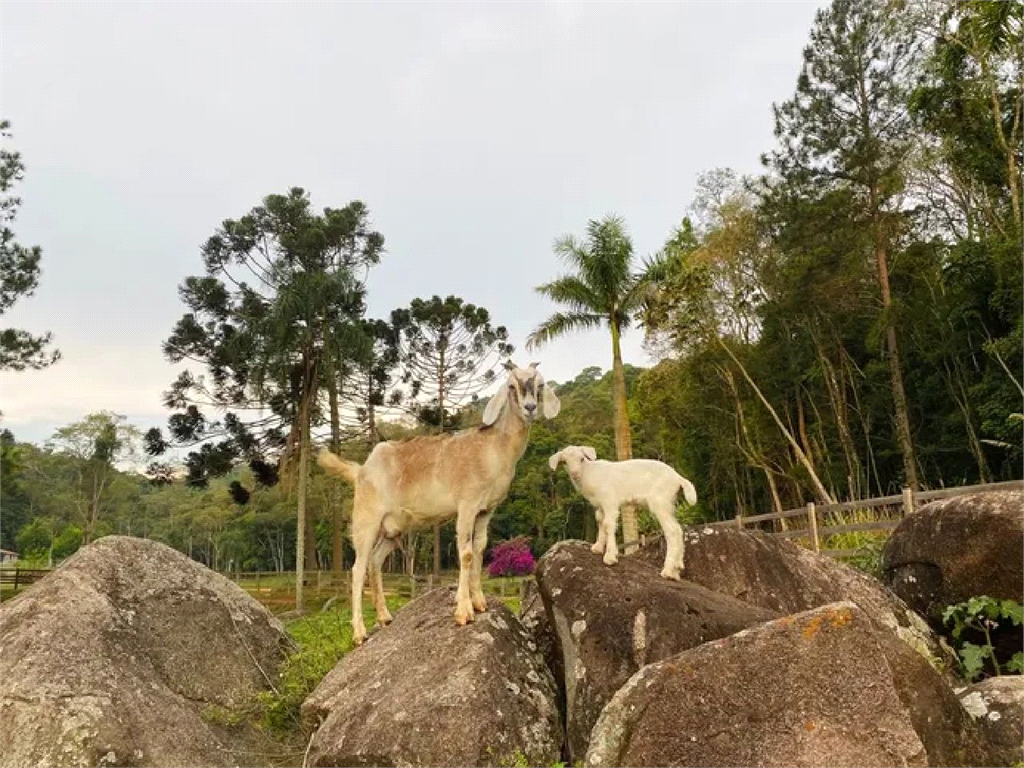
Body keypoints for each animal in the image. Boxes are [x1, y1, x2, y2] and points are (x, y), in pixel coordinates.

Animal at [319, 360, 561, 643]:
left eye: (540, 385)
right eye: (512, 386)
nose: (530, 407)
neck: (494, 449)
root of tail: (360, 470)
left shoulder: (486, 510)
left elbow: (480, 549)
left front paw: (479, 602)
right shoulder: (466, 504)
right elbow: (466, 554)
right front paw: (464, 612)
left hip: (393, 527)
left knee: (375, 561)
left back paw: (384, 617)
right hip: (366, 518)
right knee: (357, 569)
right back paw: (359, 632)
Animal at [552, 448, 696, 581]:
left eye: (582, 459)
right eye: (564, 462)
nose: (575, 474)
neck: (590, 473)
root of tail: (677, 478)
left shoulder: (609, 501)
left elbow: (608, 525)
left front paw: (610, 557)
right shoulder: (600, 505)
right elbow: (600, 521)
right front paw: (598, 547)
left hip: (660, 501)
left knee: (672, 530)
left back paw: (668, 570)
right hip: (668, 503)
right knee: (678, 529)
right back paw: (677, 569)